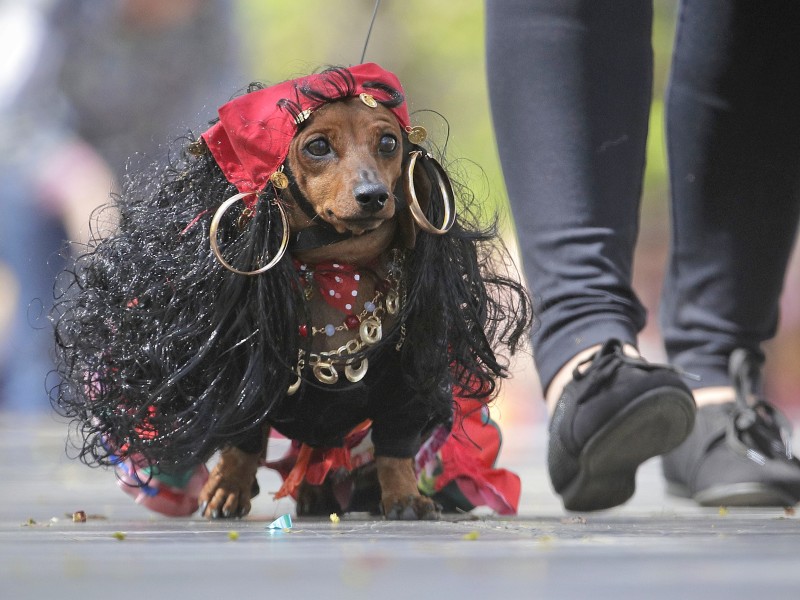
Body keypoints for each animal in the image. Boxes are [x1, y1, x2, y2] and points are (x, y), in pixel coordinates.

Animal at [51, 64, 532, 520]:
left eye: (388, 142)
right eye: (317, 147)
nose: (374, 196)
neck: (336, 270)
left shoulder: (409, 381)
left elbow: (396, 449)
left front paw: (404, 496)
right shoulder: (242, 375)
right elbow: (243, 440)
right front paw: (229, 486)